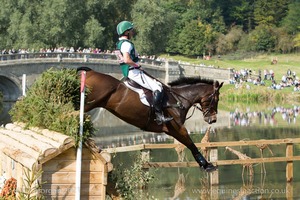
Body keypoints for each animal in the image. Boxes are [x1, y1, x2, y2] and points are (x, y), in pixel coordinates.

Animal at [77, 67, 223, 172]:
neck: (178, 99)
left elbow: (189, 143)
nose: (213, 119)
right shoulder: (177, 128)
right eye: (216, 99)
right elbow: (191, 143)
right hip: (88, 103)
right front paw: (206, 165)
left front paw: (205, 164)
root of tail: (89, 73)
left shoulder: (172, 130)